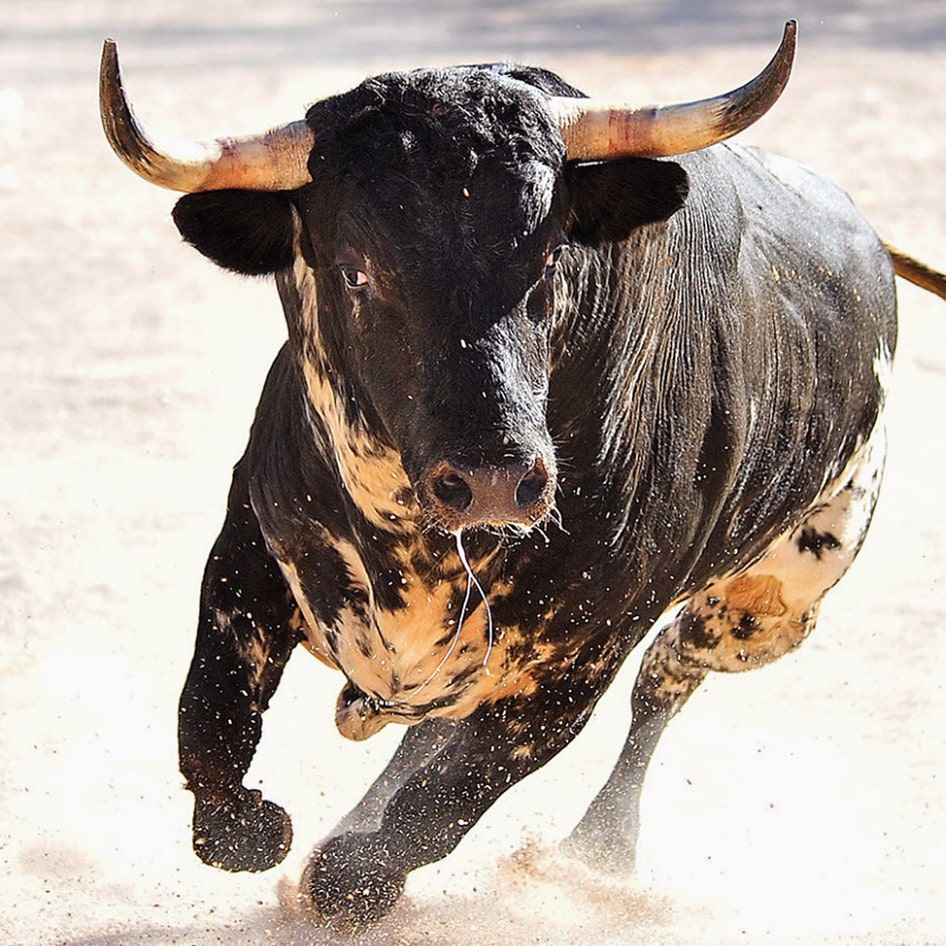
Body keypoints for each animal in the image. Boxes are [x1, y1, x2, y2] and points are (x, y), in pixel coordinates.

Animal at [99, 20, 940, 920]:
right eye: (356, 271)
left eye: (548, 260)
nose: (496, 481)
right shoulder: (251, 542)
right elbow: (212, 717)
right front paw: (259, 828)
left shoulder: (584, 655)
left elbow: (449, 801)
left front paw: (351, 876)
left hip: (770, 607)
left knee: (665, 679)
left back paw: (597, 851)